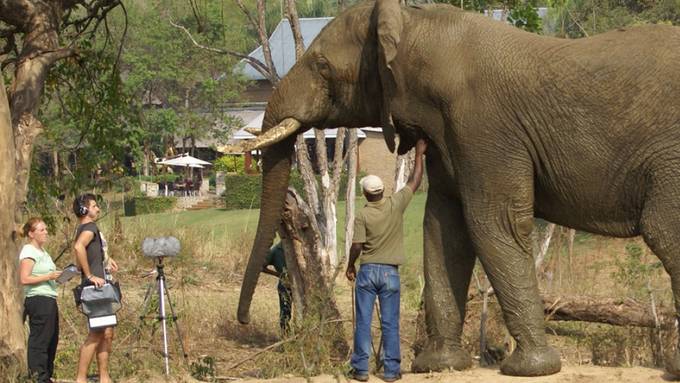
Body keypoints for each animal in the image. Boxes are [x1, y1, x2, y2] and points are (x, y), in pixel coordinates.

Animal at [236, 0, 680, 378]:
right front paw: (439, 365)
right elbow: (443, 228)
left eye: (323, 66)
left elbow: (493, 224)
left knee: (665, 234)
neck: (417, 24)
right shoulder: (449, 136)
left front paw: (532, 369)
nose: (243, 323)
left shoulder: (484, 128)